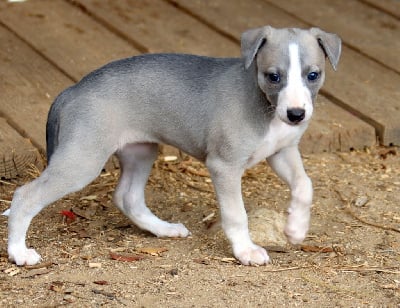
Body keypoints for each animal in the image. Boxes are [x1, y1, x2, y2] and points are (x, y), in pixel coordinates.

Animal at [3, 26, 340, 266]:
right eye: (273, 76)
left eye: (313, 75)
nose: (296, 115)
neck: (264, 105)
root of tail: (73, 89)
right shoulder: (224, 166)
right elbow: (236, 214)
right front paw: (245, 251)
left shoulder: (282, 152)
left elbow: (305, 185)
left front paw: (296, 228)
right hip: (82, 161)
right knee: (25, 195)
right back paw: (19, 253)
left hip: (140, 151)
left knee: (127, 197)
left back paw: (163, 229)